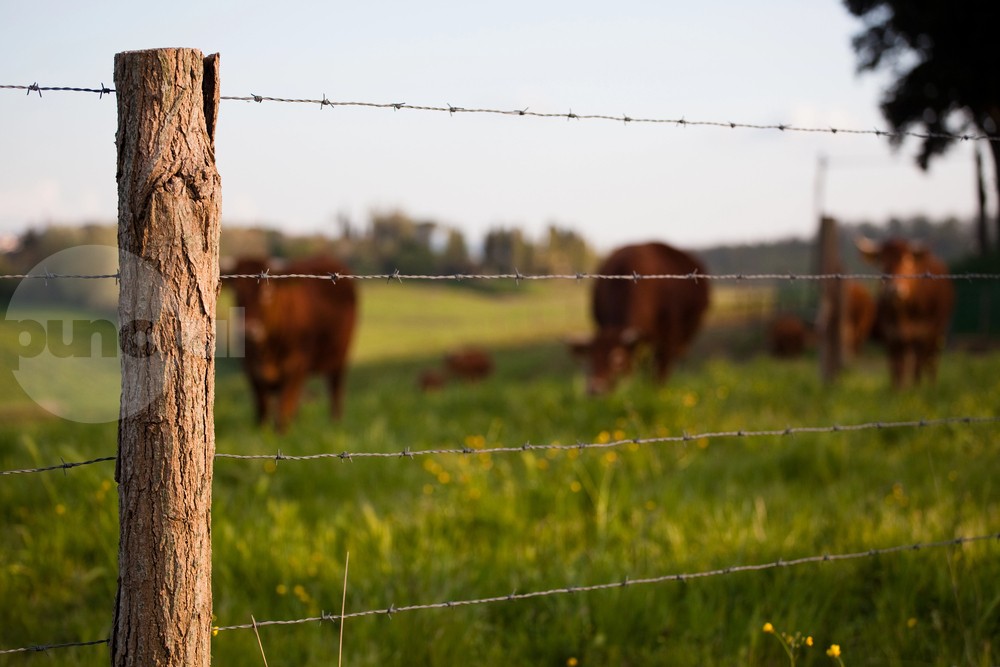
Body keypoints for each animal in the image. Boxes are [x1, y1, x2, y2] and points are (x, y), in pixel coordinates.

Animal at [226, 253, 356, 430]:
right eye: (237, 291)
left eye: (268, 292)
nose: (249, 330)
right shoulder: (251, 370)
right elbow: (262, 410)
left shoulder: (296, 367)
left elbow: (283, 411)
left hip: (339, 357)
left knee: (335, 390)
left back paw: (335, 422)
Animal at [572, 243, 712, 394]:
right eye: (590, 358)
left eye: (618, 361)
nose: (595, 389)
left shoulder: (668, 338)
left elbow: (661, 371)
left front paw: (656, 392)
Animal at [856, 239, 956, 386]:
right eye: (881, 260)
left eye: (907, 259)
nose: (894, 290)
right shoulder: (892, 336)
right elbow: (897, 368)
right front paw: (898, 390)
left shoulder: (922, 333)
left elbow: (917, 366)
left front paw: (917, 389)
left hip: (938, 332)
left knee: (932, 361)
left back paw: (931, 386)